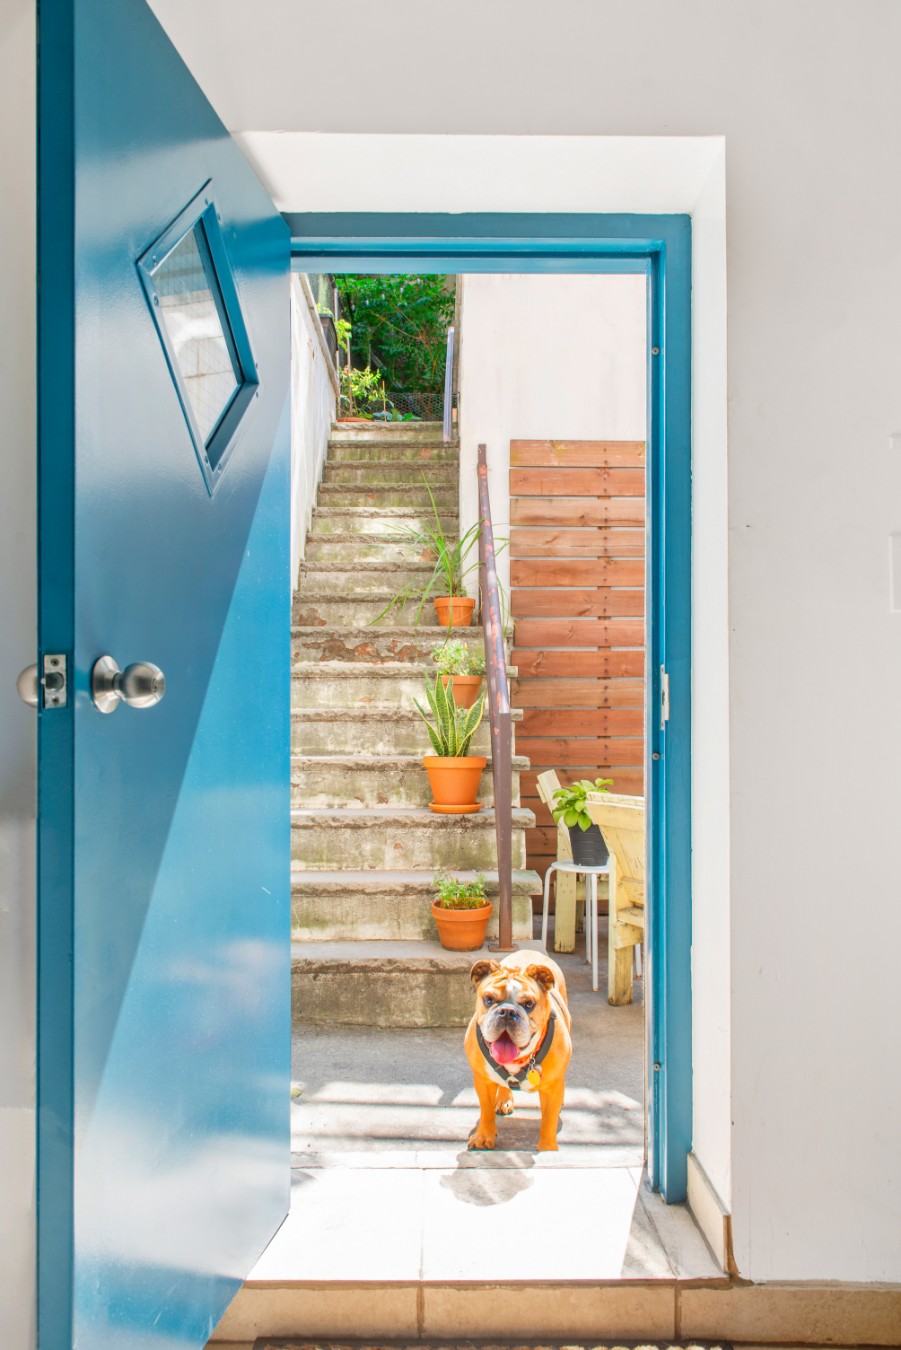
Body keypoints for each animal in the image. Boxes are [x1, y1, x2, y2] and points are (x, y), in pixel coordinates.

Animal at [464, 949, 572, 1151]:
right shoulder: (483, 1080)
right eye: (488, 999)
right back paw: (504, 1099)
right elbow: (486, 1110)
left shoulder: (552, 1089)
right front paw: (483, 1136)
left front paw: (547, 1148)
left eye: (529, 1004)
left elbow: (548, 1121)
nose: (507, 1011)